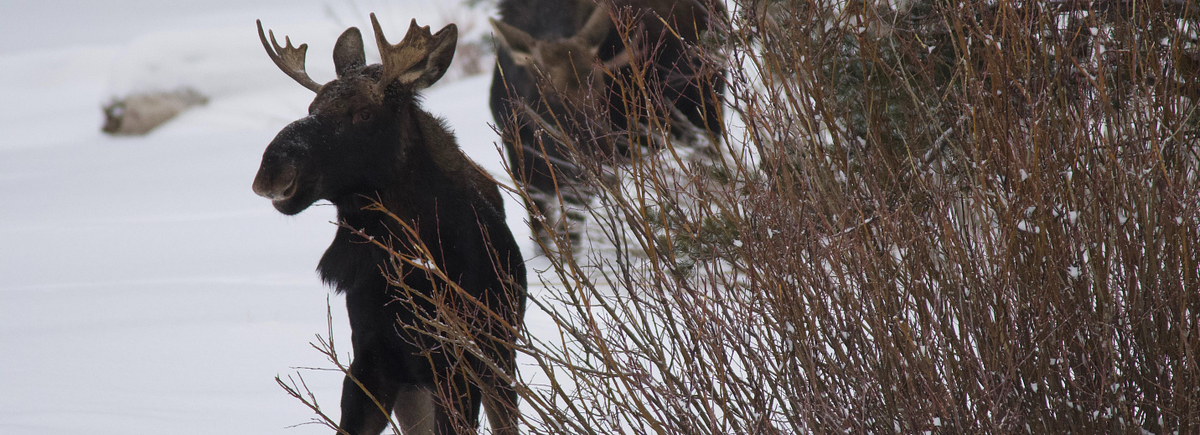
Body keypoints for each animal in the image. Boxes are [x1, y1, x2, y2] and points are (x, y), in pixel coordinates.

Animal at [252, 13, 525, 434]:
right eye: (312, 105)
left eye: (364, 113)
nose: (273, 166)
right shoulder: (371, 362)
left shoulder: (460, 365)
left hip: (499, 359)